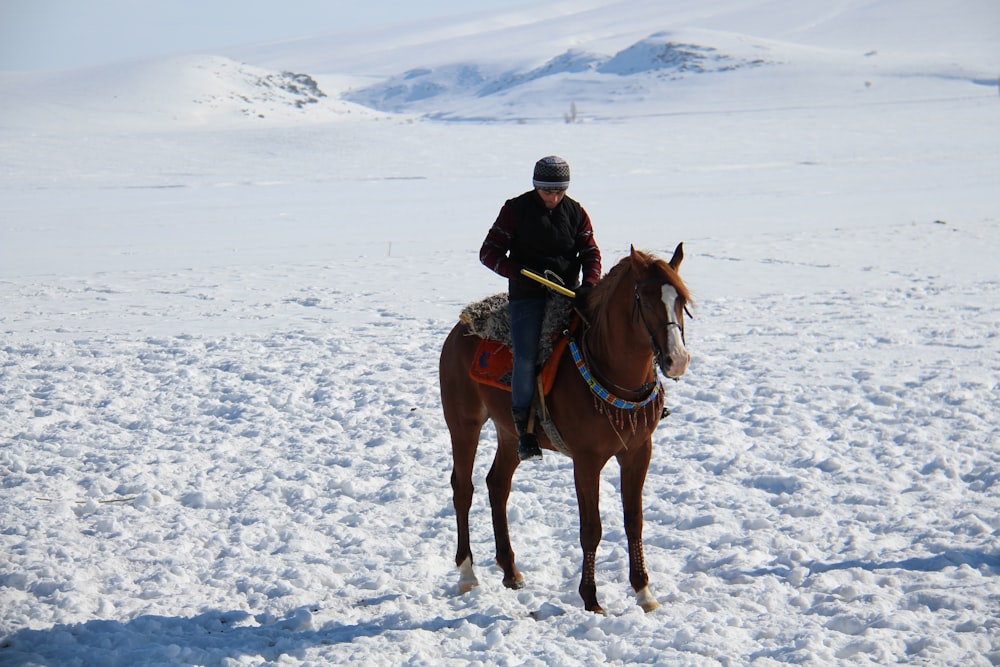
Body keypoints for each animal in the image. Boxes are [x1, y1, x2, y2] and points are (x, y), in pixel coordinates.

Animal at [442, 243, 692, 612]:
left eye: (681, 301)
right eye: (644, 301)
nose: (678, 360)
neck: (610, 368)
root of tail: (461, 327)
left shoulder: (638, 452)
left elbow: (634, 521)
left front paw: (644, 592)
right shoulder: (586, 460)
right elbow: (591, 529)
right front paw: (591, 599)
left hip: (511, 432)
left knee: (497, 485)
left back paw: (511, 570)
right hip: (463, 423)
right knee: (463, 488)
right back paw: (467, 574)